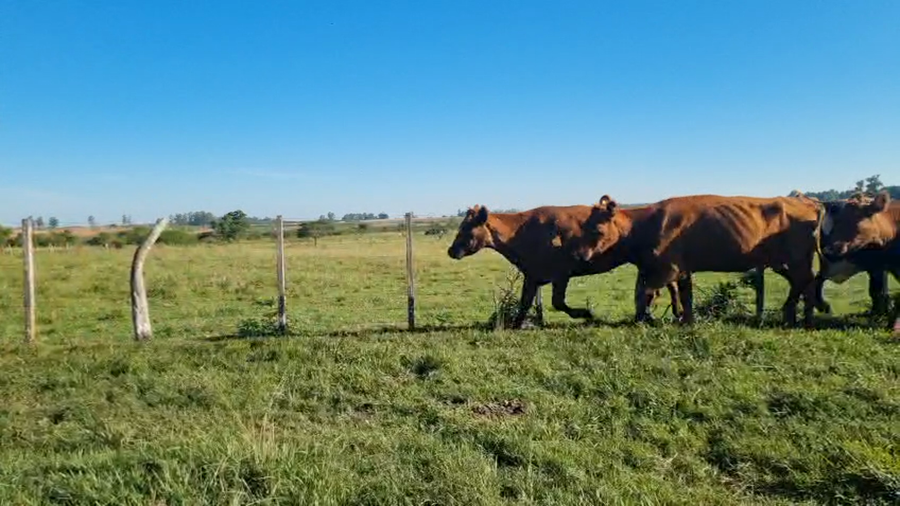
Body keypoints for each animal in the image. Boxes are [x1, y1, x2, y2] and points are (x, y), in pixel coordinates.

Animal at [447, 204, 682, 328]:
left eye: (466, 228)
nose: (451, 250)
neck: (521, 232)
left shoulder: (561, 275)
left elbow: (557, 302)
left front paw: (587, 313)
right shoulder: (532, 276)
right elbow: (525, 303)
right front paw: (516, 325)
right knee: (668, 285)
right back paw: (671, 313)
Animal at [573, 193, 825, 327]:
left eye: (596, 229)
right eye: (584, 226)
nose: (580, 254)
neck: (644, 226)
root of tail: (804, 201)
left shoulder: (666, 270)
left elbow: (643, 293)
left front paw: (642, 319)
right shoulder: (681, 270)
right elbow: (685, 296)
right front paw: (686, 320)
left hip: (794, 260)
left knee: (805, 281)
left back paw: (797, 316)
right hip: (785, 262)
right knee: (805, 283)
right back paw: (800, 317)